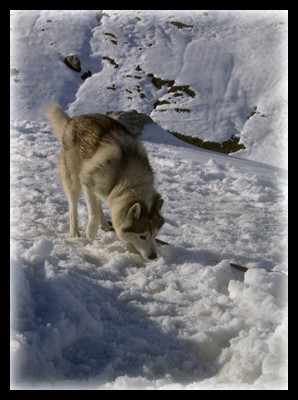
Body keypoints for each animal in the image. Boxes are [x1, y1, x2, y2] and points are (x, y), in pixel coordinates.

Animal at [45, 103, 164, 260]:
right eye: (142, 236)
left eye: (155, 235)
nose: (153, 256)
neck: (128, 179)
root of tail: (74, 119)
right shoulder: (87, 182)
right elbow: (93, 211)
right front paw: (91, 232)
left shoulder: (110, 192)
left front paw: (131, 249)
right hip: (74, 180)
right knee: (73, 207)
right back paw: (75, 232)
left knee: (99, 201)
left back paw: (105, 225)